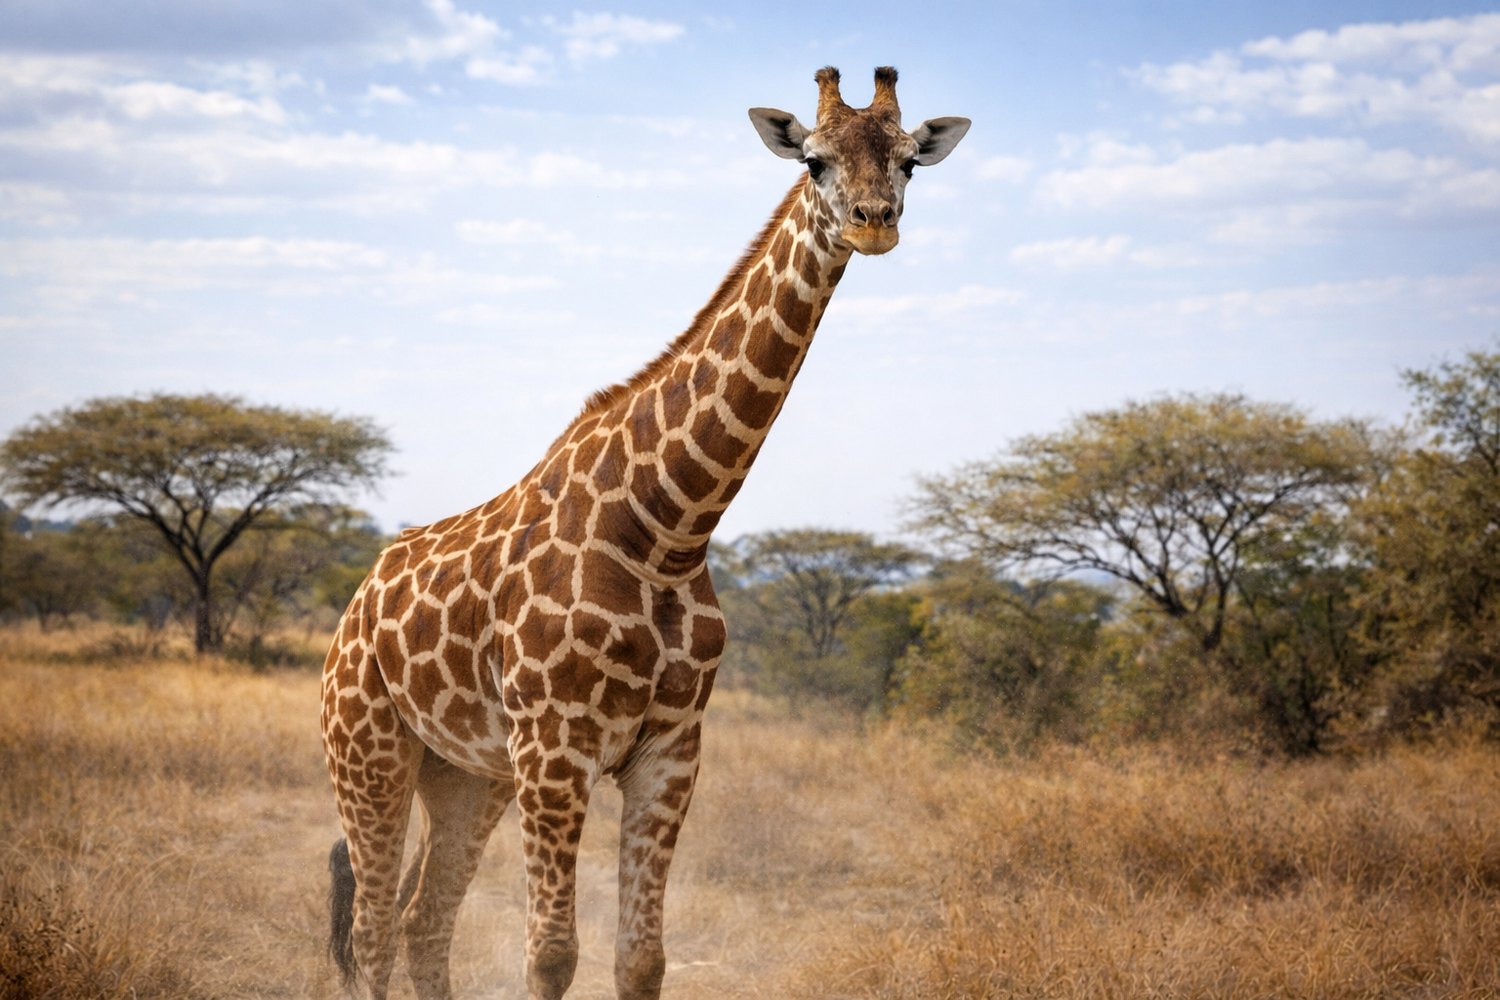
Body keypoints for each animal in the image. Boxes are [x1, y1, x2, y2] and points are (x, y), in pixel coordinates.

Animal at [321, 66, 969, 1000]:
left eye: (910, 159)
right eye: (813, 160)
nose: (873, 221)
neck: (669, 526)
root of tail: (355, 606)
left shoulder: (670, 750)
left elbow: (642, 959)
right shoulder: (556, 749)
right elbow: (551, 954)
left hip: (468, 772)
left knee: (421, 921)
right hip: (369, 748)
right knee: (372, 930)